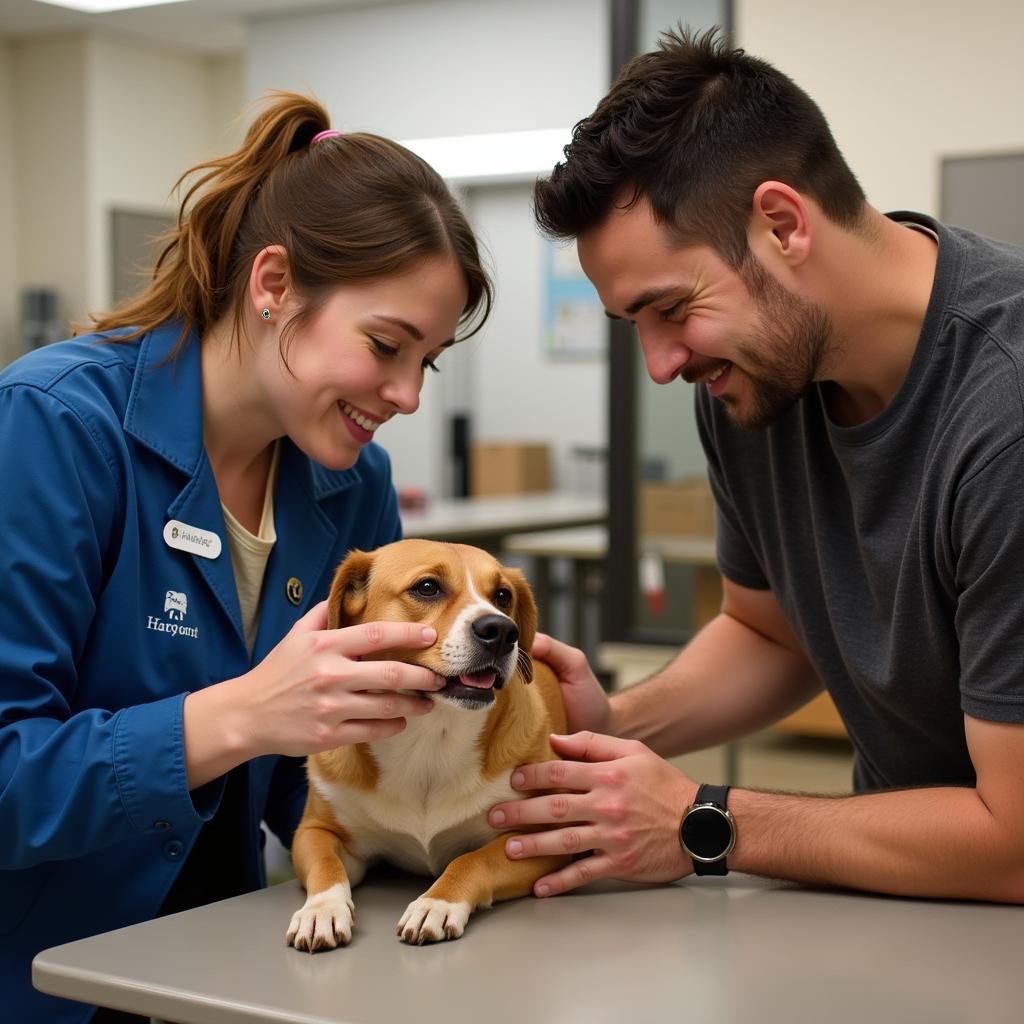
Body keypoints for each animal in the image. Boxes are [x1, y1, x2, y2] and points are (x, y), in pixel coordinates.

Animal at [286, 540, 569, 946]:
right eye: (427, 587)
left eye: (503, 595)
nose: (502, 630)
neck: (430, 737)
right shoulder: (315, 832)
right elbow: (327, 866)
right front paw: (321, 909)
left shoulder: (542, 836)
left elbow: (472, 860)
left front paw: (437, 902)